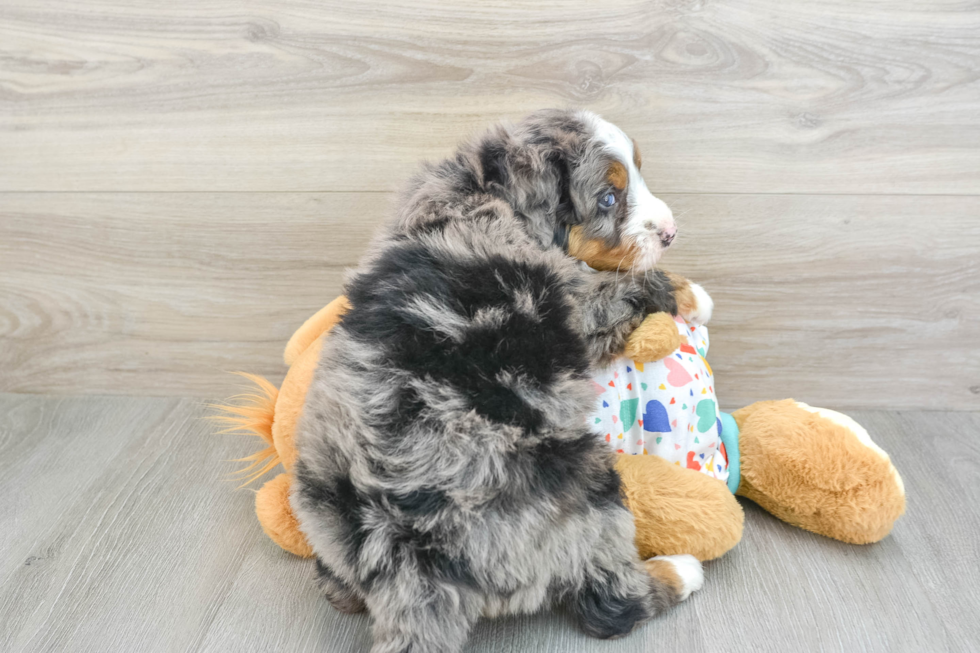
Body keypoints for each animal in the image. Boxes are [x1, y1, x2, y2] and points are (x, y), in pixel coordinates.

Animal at [290, 109, 704, 648]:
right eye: (608, 199)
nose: (671, 232)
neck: (480, 189)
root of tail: (406, 561)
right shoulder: (576, 302)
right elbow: (628, 286)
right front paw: (695, 295)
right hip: (587, 488)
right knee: (610, 603)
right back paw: (680, 571)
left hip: (321, 508)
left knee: (335, 587)